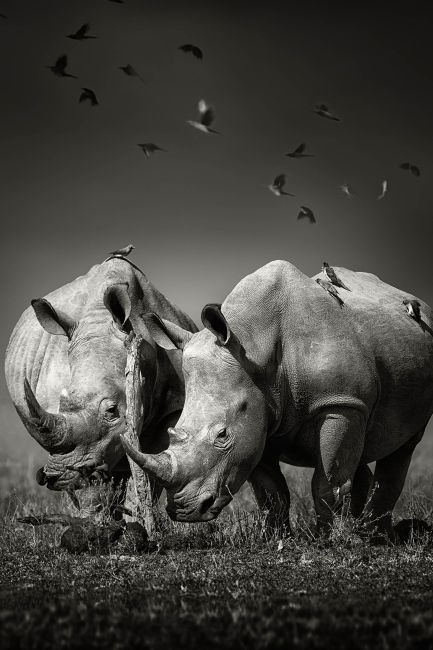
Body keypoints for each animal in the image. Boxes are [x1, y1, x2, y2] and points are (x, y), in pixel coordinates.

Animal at [4, 256, 197, 512]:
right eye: (62, 403)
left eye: (113, 411)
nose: (55, 476)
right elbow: (92, 488)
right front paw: (94, 519)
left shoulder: (174, 405)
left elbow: (151, 466)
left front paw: (137, 513)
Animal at [121, 260, 433, 540]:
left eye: (223, 435)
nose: (184, 510)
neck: (253, 346)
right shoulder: (258, 415)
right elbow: (271, 491)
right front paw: (274, 539)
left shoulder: (341, 402)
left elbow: (327, 481)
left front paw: (330, 541)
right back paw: (366, 531)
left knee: (403, 447)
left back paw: (378, 537)